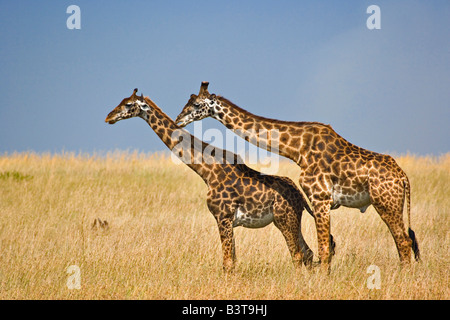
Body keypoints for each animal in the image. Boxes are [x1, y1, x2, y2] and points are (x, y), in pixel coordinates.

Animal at [105, 89, 334, 272]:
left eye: (128, 104)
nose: (108, 117)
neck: (207, 172)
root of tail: (300, 195)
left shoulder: (222, 216)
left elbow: (227, 263)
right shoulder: (226, 220)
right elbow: (232, 260)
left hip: (284, 218)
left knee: (297, 254)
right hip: (291, 219)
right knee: (308, 252)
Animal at [174, 80, 420, 270]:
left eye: (196, 104)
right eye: (187, 101)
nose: (178, 119)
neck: (297, 149)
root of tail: (404, 178)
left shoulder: (320, 197)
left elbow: (324, 248)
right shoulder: (318, 200)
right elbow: (323, 248)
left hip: (386, 202)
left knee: (403, 241)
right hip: (391, 204)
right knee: (405, 240)